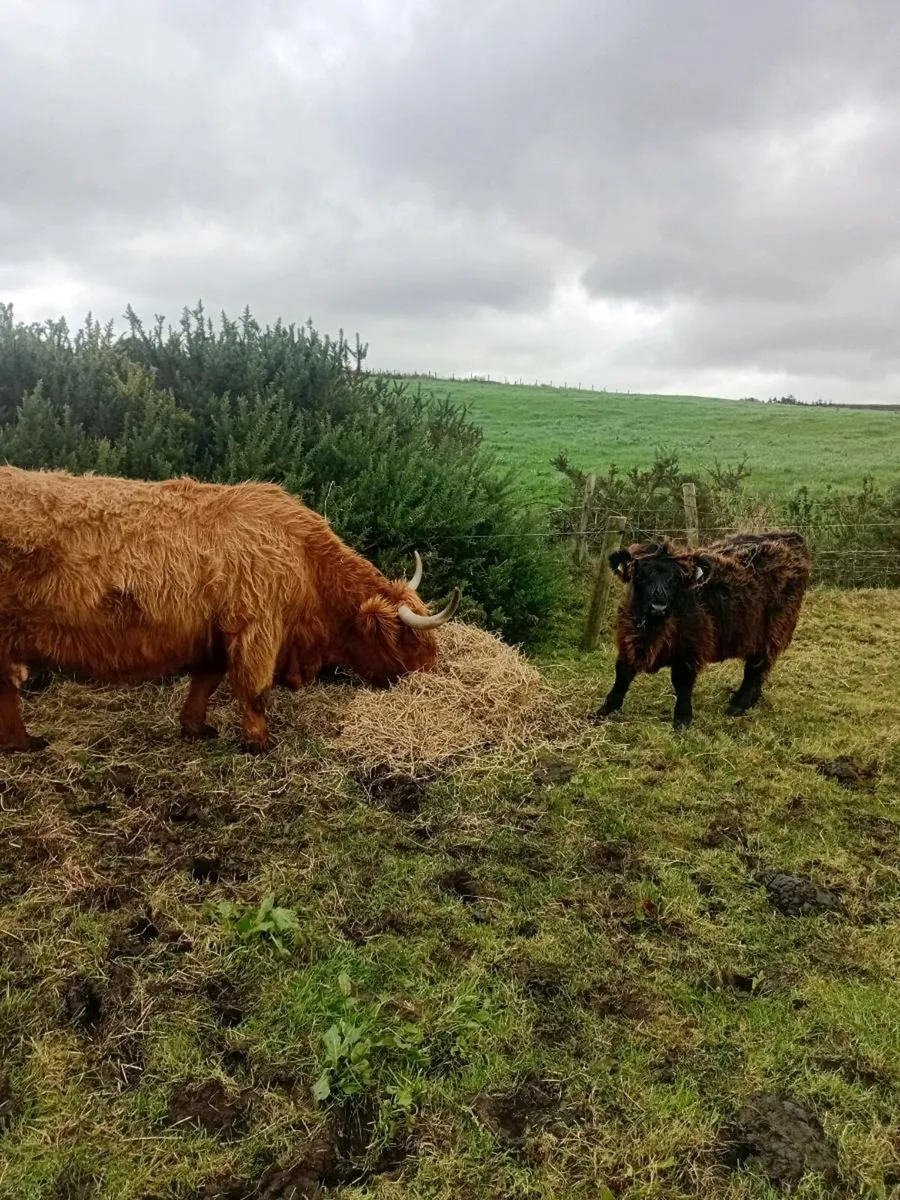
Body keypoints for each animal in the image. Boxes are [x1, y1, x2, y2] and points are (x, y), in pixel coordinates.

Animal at [0, 465, 460, 754]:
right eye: (409, 641)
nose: (432, 673)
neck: (305, 562)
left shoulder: (216, 632)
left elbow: (206, 681)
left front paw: (195, 728)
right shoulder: (257, 627)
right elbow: (254, 690)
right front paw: (259, 743)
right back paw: (24, 743)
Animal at [594, 531, 811, 729]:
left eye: (676, 579)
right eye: (641, 575)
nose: (658, 607)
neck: (653, 630)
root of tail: (790, 536)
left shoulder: (690, 648)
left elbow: (682, 683)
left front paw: (682, 720)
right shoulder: (629, 639)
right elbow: (622, 675)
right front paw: (604, 710)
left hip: (773, 631)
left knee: (755, 669)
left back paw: (738, 706)